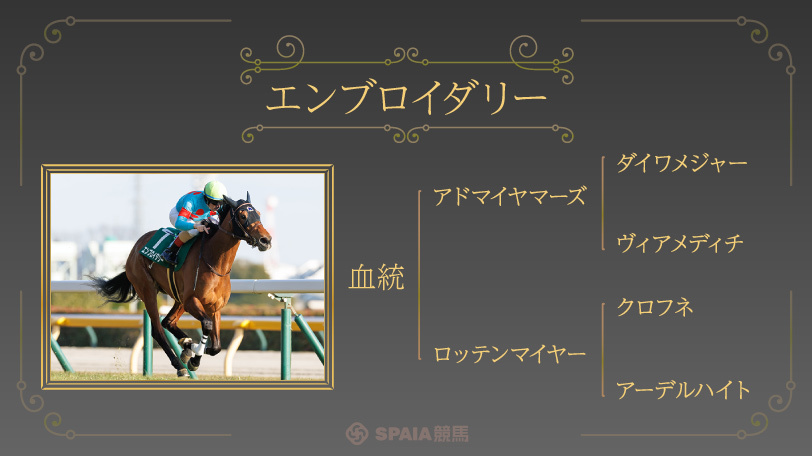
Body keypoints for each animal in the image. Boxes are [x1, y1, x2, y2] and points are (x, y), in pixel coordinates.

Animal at [91, 193, 271, 377]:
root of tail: (135, 248)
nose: (266, 240)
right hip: (147, 289)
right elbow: (207, 325)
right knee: (158, 329)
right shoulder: (192, 300)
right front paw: (195, 359)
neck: (214, 262)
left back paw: (186, 345)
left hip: (179, 298)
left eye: (258, 214)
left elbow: (216, 347)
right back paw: (179, 364)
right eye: (243, 216)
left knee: (168, 322)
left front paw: (194, 349)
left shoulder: (215, 307)